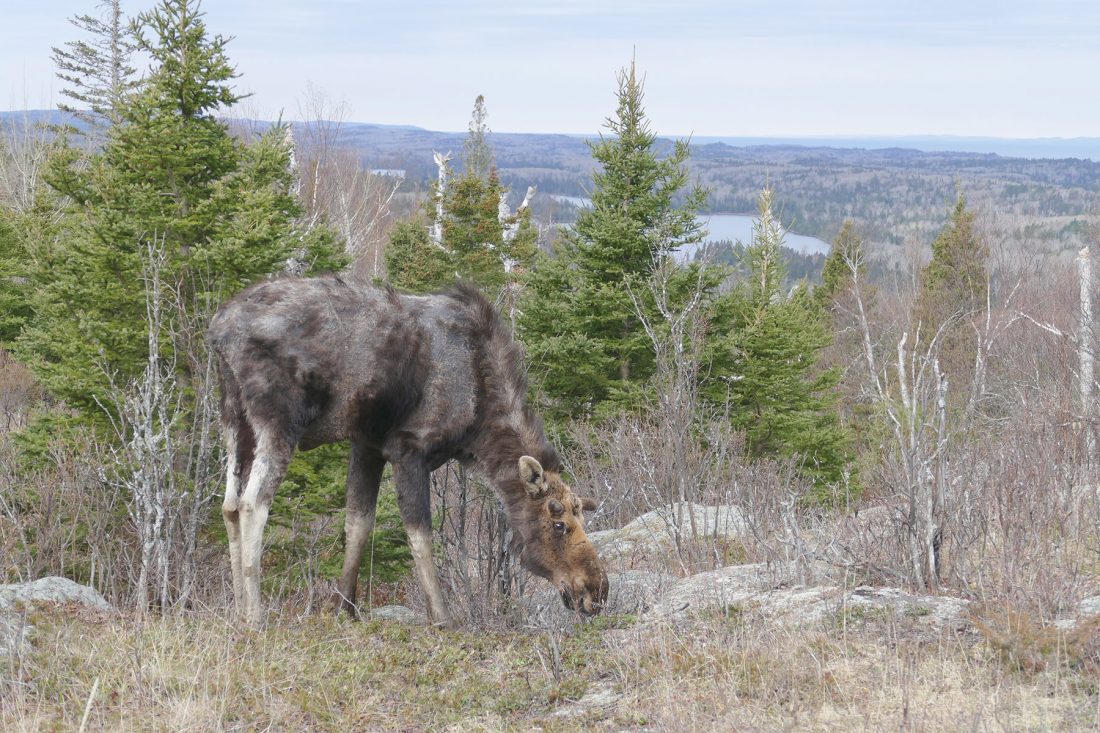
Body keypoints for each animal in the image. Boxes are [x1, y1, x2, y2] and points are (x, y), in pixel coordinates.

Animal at [207, 275, 608, 628]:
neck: (477, 422)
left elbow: (358, 523)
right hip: (278, 420)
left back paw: (239, 611)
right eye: (558, 523)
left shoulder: (366, 443)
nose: (597, 591)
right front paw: (442, 617)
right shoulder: (409, 447)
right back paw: (255, 616)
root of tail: (219, 329)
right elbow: (421, 534)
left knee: (229, 504)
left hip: (233, 418)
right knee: (252, 504)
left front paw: (344, 607)